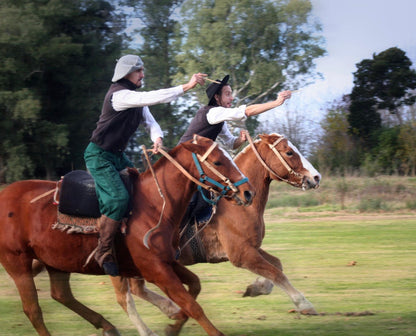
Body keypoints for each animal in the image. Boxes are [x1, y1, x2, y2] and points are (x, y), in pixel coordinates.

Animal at [0, 135, 254, 336]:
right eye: (217, 161)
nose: (247, 192)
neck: (154, 204)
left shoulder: (167, 262)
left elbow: (194, 286)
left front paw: (172, 324)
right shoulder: (156, 270)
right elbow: (193, 306)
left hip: (55, 261)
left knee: (61, 295)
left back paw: (107, 326)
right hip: (18, 263)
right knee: (33, 310)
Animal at [109, 133, 320, 334]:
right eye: (289, 152)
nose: (316, 177)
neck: (235, 206)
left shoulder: (250, 248)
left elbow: (277, 265)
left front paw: (256, 287)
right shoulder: (241, 254)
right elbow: (276, 273)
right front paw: (304, 304)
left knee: (137, 290)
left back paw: (171, 312)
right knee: (126, 296)